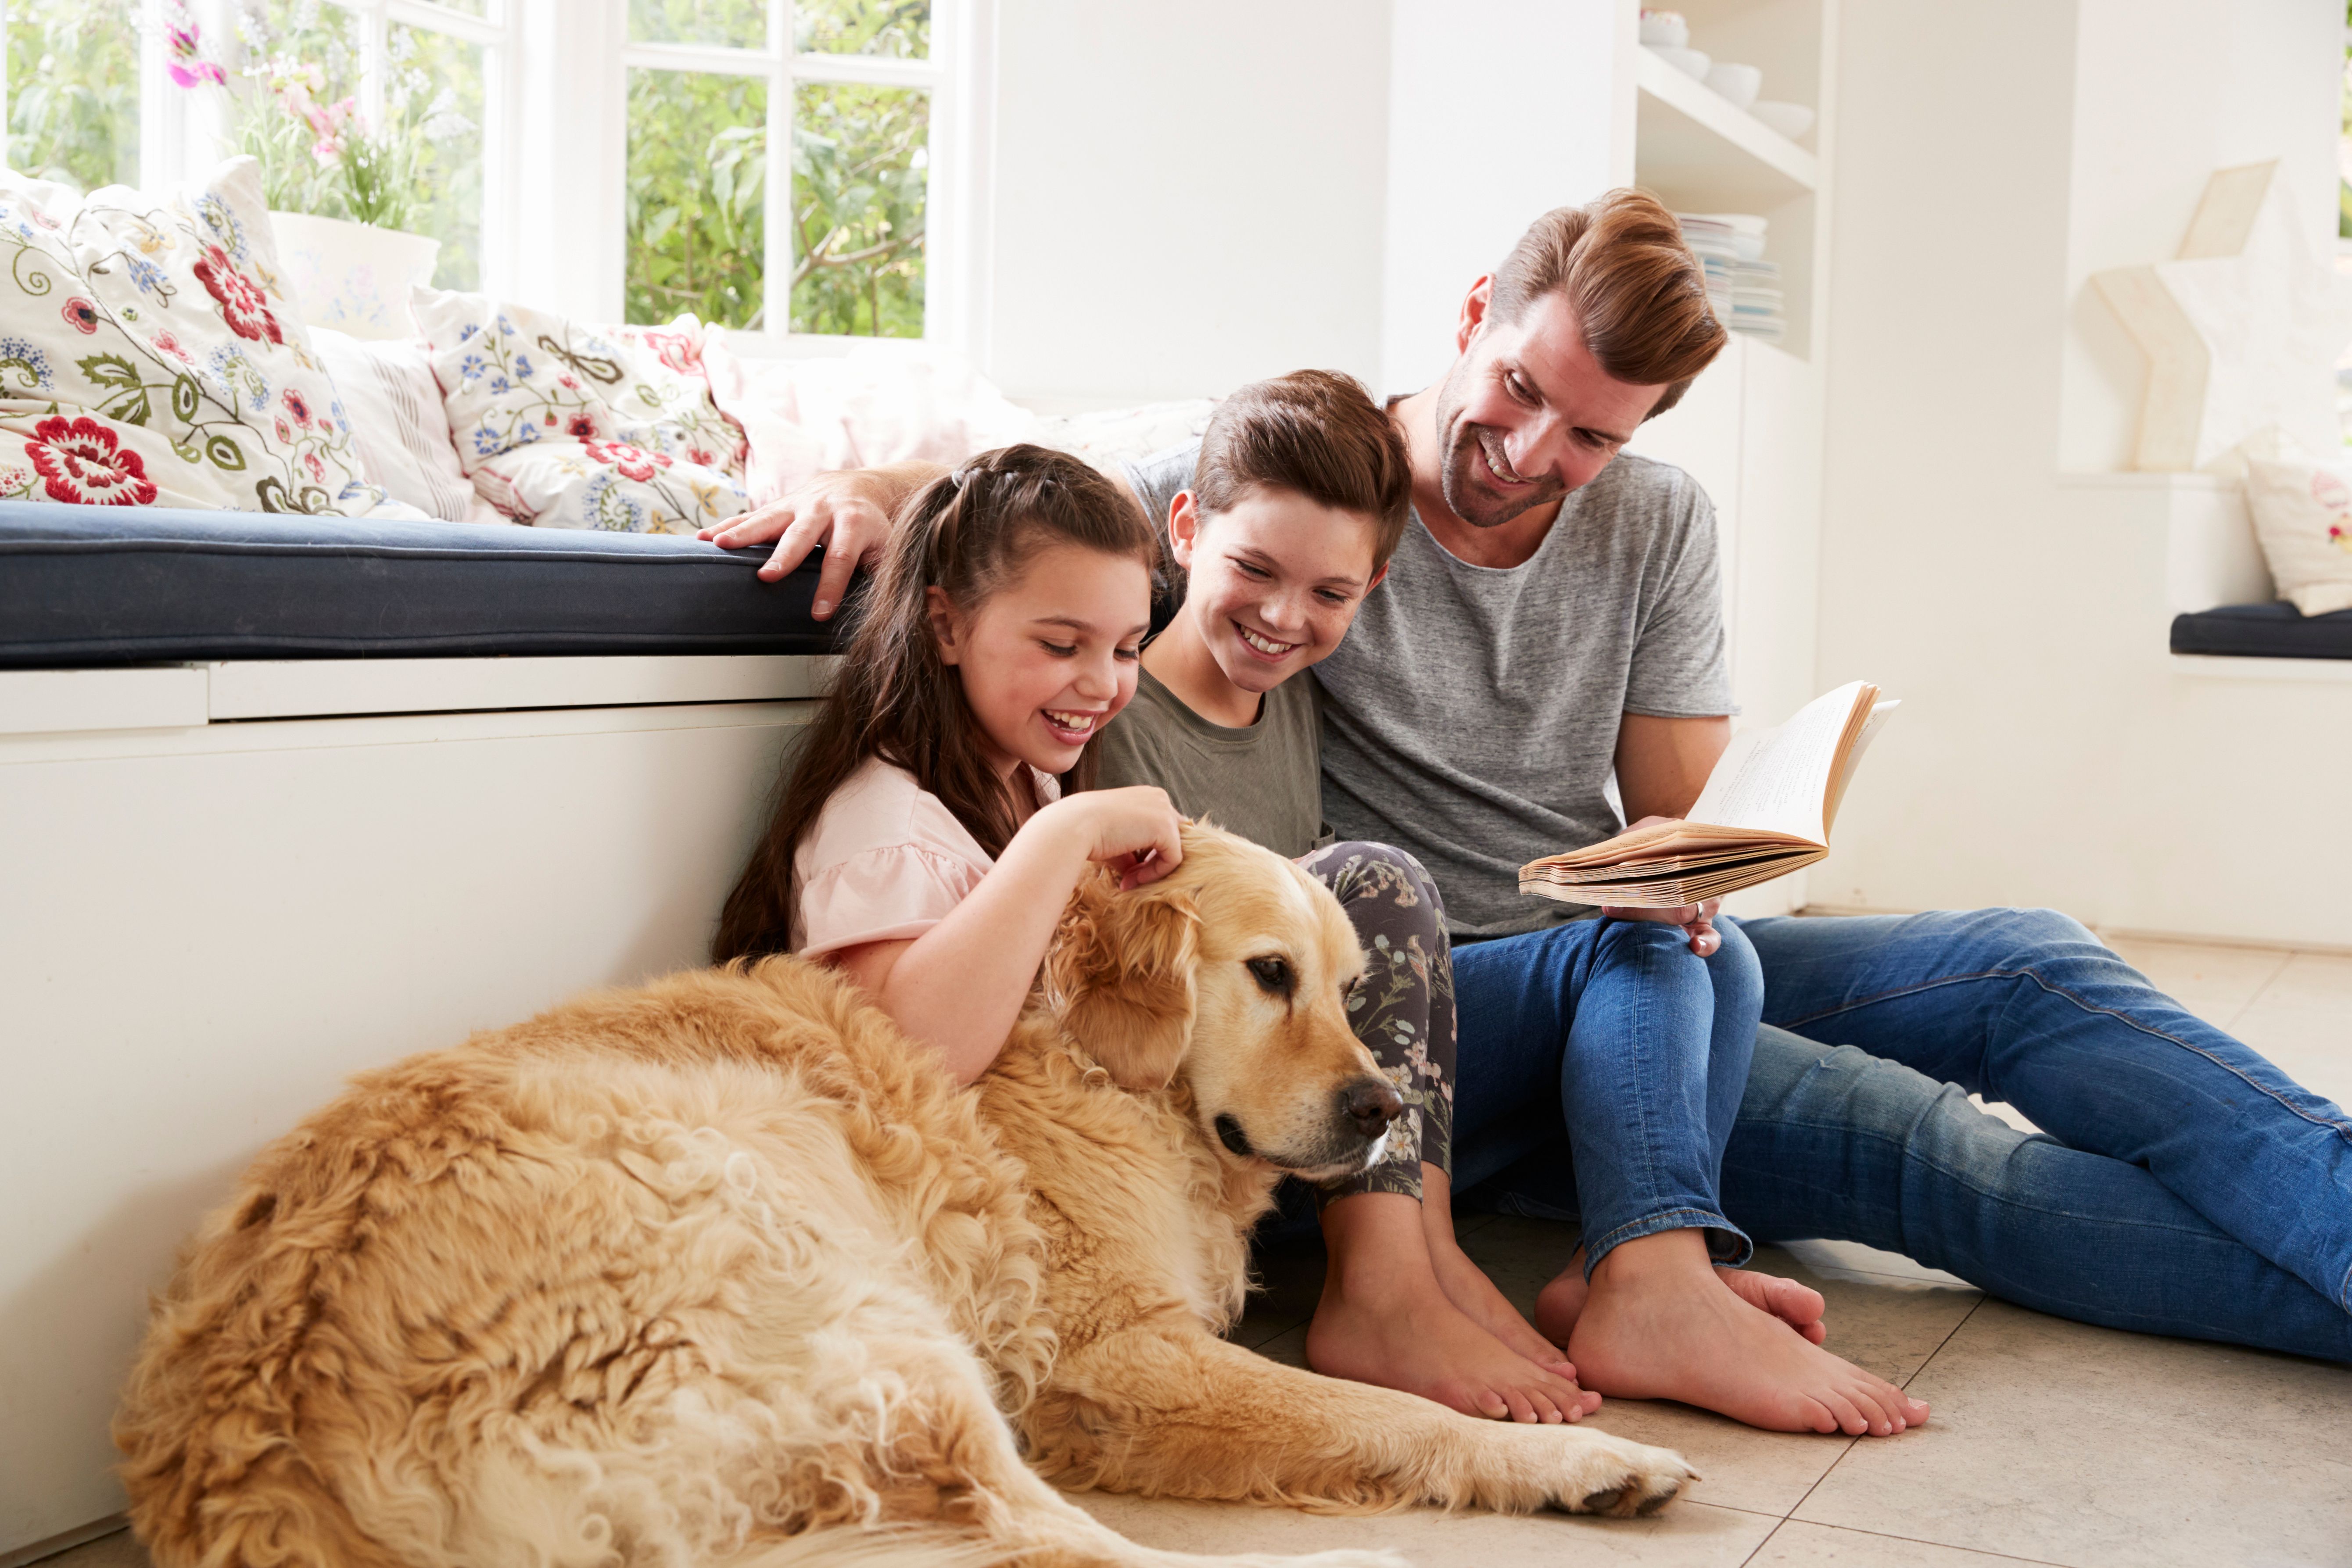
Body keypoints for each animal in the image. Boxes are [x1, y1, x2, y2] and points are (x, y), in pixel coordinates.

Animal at [115, 823, 1693, 1568]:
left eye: (1354, 987)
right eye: (1267, 973)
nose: (1382, 1112)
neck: (1100, 1069)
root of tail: (262, 1445)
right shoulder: (1111, 1358)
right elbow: (1388, 1411)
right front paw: (1574, 1453)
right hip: (860, 1308)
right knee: (1066, 1546)